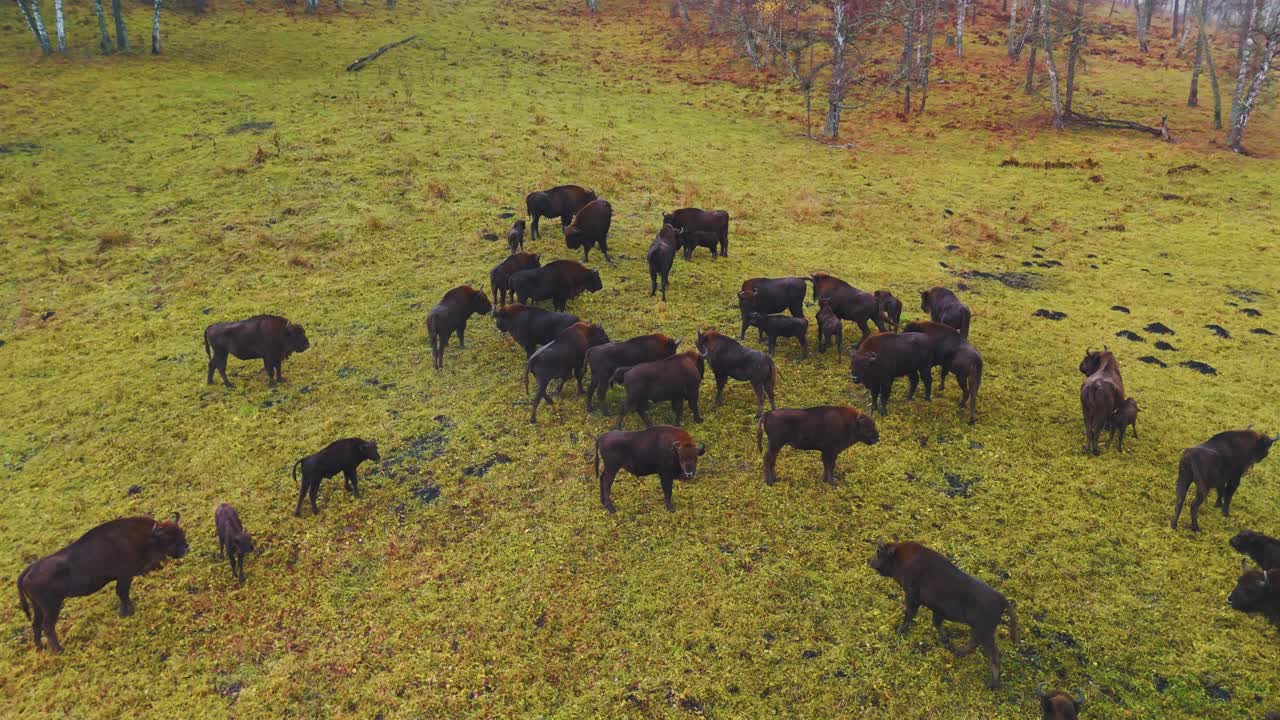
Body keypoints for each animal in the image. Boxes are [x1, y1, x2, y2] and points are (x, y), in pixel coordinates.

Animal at [17, 515, 189, 653]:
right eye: (168, 539)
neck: (144, 537)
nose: (186, 548)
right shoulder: (124, 576)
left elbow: (122, 593)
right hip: (51, 606)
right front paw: (128, 612)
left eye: (181, 532)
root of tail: (30, 569)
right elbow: (122, 593)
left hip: (38, 607)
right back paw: (59, 650)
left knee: (36, 624)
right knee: (47, 626)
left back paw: (40, 648)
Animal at [869, 541, 1019, 689]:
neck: (900, 557)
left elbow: (910, 615)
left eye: (879, 553)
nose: (871, 562)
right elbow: (936, 623)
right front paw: (946, 641)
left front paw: (900, 630)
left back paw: (992, 684)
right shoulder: (938, 610)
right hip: (979, 631)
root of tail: (1001, 599)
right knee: (975, 643)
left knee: (994, 655)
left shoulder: (912, 597)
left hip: (985, 633)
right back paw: (958, 651)